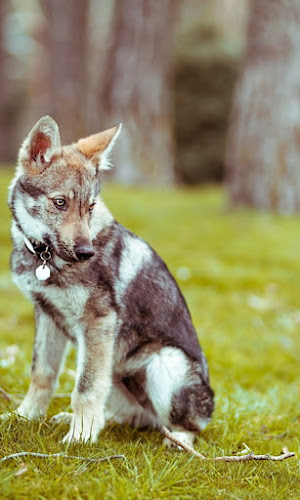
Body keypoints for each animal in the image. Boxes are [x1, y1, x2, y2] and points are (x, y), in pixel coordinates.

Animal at [7, 116, 213, 446]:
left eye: (90, 207)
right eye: (60, 202)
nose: (86, 252)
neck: (45, 258)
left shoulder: (98, 321)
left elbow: (85, 388)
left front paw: (79, 438)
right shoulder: (47, 315)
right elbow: (42, 374)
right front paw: (25, 417)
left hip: (165, 363)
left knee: (191, 426)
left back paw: (178, 441)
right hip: (115, 371)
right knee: (132, 417)